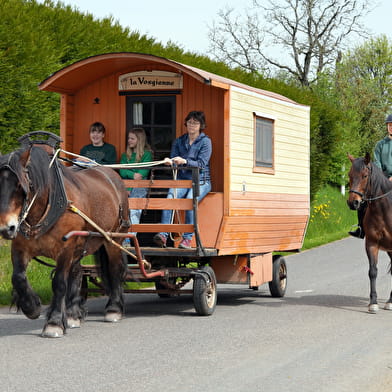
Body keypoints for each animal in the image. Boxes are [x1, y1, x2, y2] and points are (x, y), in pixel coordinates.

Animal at [0, 132, 130, 336]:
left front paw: (53, 322)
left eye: (21, 186)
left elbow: (59, 283)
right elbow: (18, 277)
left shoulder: (66, 248)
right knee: (77, 272)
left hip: (113, 238)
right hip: (80, 243)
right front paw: (32, 306)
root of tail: (110, 174)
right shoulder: (20, 247)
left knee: (115, 268)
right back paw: (72, 313)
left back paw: (114, 309)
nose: (7, 227)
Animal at [346, 152, 392, 312]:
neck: (384, 210)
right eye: (350, 175)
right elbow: (372, 271)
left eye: (365, 175)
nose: (352, 203)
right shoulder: (371, 244)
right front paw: (373, 302)